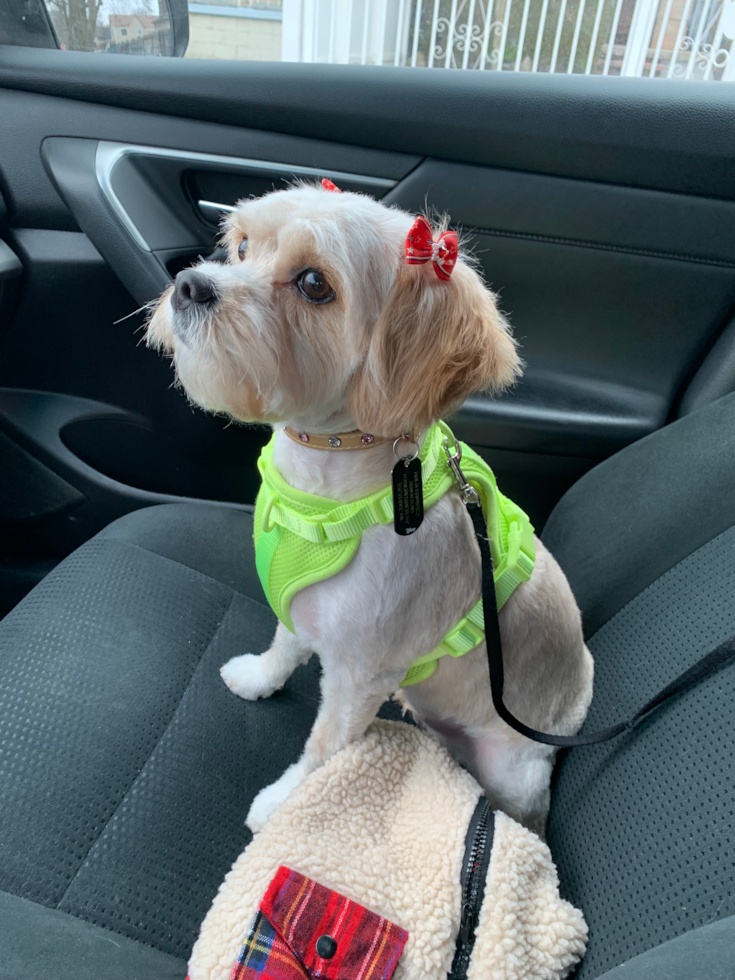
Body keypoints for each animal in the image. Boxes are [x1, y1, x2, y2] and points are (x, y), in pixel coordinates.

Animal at [148, 182, 592, 836]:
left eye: (314, 283)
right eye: (242, 246)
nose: (188, 285)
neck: (330, 487)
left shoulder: (362, 674)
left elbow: (325, 749)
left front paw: (284, 805)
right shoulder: (302, 604)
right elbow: (284, 646)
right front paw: (259, 676)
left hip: (515, 771)